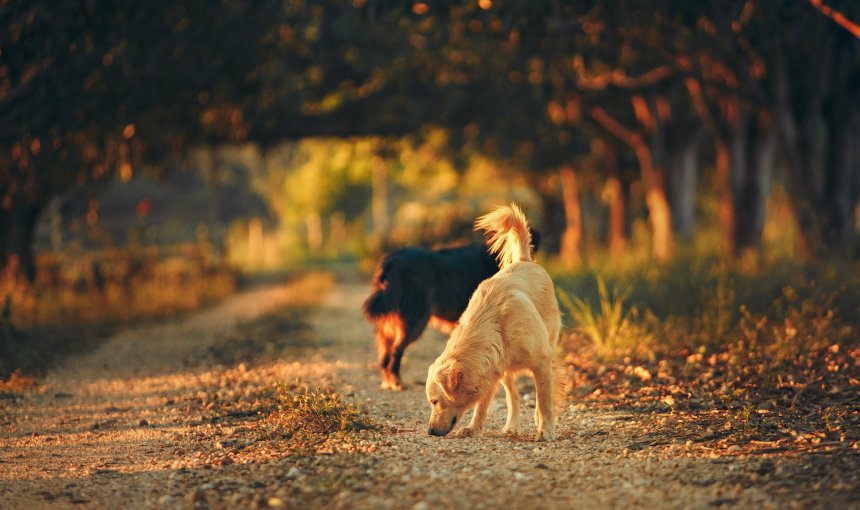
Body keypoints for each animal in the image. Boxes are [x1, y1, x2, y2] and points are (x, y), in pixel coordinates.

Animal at [424, 205, 564, 440]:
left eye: (435, 401)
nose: (430, 431)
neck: (495, 324)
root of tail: (524, 260)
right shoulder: (492, 368)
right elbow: (482, 405)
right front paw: (473, 428)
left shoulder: (542, 361)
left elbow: (544, 401)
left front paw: (545, 430)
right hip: (504, 371)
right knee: (513, 397)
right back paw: (511, 427)